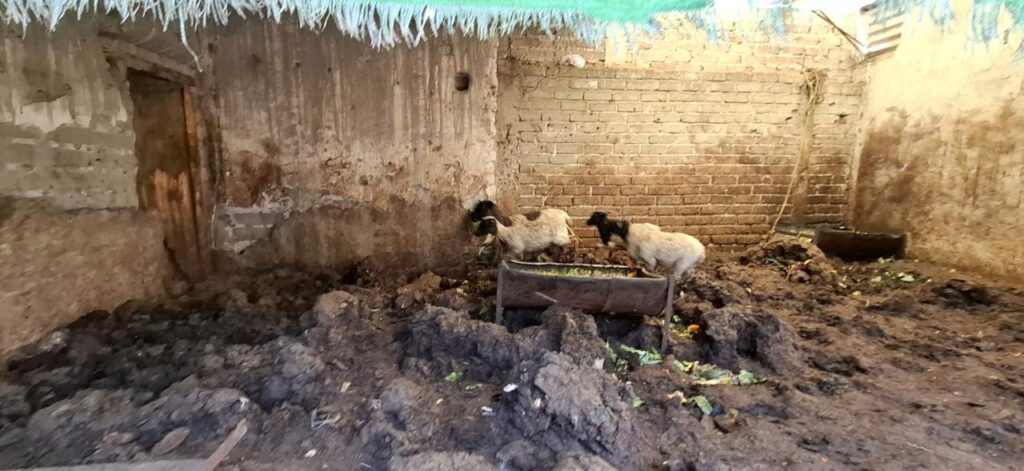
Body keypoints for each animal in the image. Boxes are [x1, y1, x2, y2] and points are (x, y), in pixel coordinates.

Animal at [589, 211, 708, 352]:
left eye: (609, 227)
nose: (603, 242)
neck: (629, 236)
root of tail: (702, 252)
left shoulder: (649, 259)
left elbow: (649, 267)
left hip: (682, 264)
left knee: (679, 276)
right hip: (688, 266)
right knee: (690, 275)